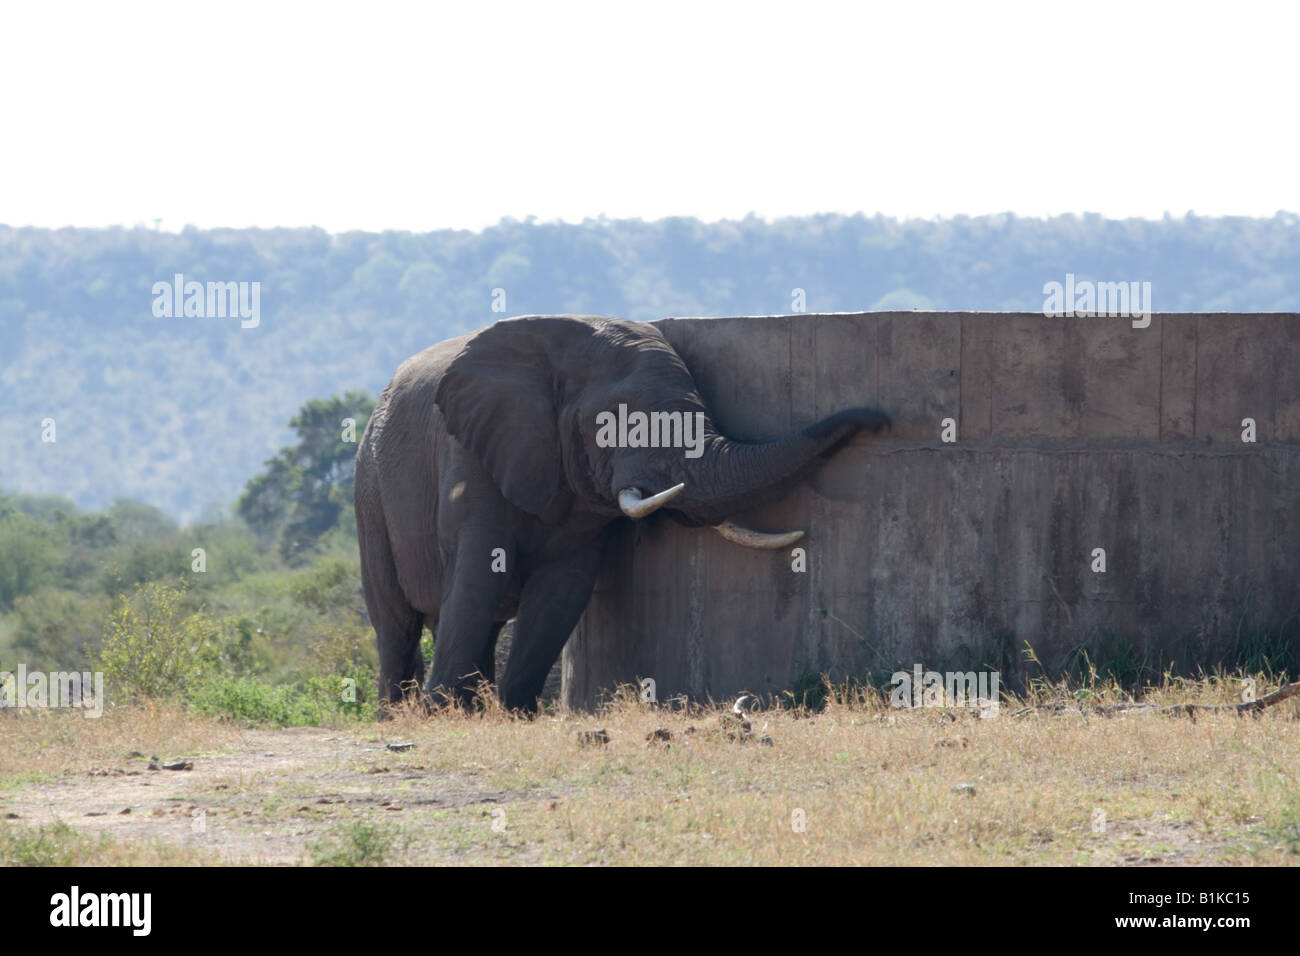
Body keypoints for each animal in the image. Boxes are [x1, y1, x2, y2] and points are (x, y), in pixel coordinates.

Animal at [354, 314, 890, 714]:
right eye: (626, 424)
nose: (880, 417)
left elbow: (564, 588)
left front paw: (514, 714)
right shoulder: (470, 454)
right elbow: (479, 570)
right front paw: (444, 714)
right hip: (369, 489)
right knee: (395, 619)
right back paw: (399, 715)